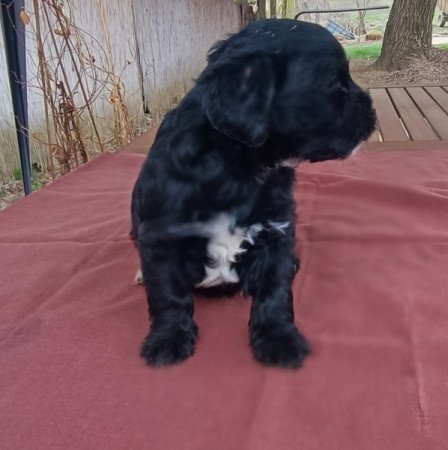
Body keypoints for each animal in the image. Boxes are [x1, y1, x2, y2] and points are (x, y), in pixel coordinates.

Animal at [131, 19, 376, 368]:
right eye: (333, 82)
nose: (371, 108)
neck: (236, 165)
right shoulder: (162, 237)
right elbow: (167, 294)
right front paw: (167, 339)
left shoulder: (277, 231)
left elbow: (274, 293)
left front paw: (278, 339)